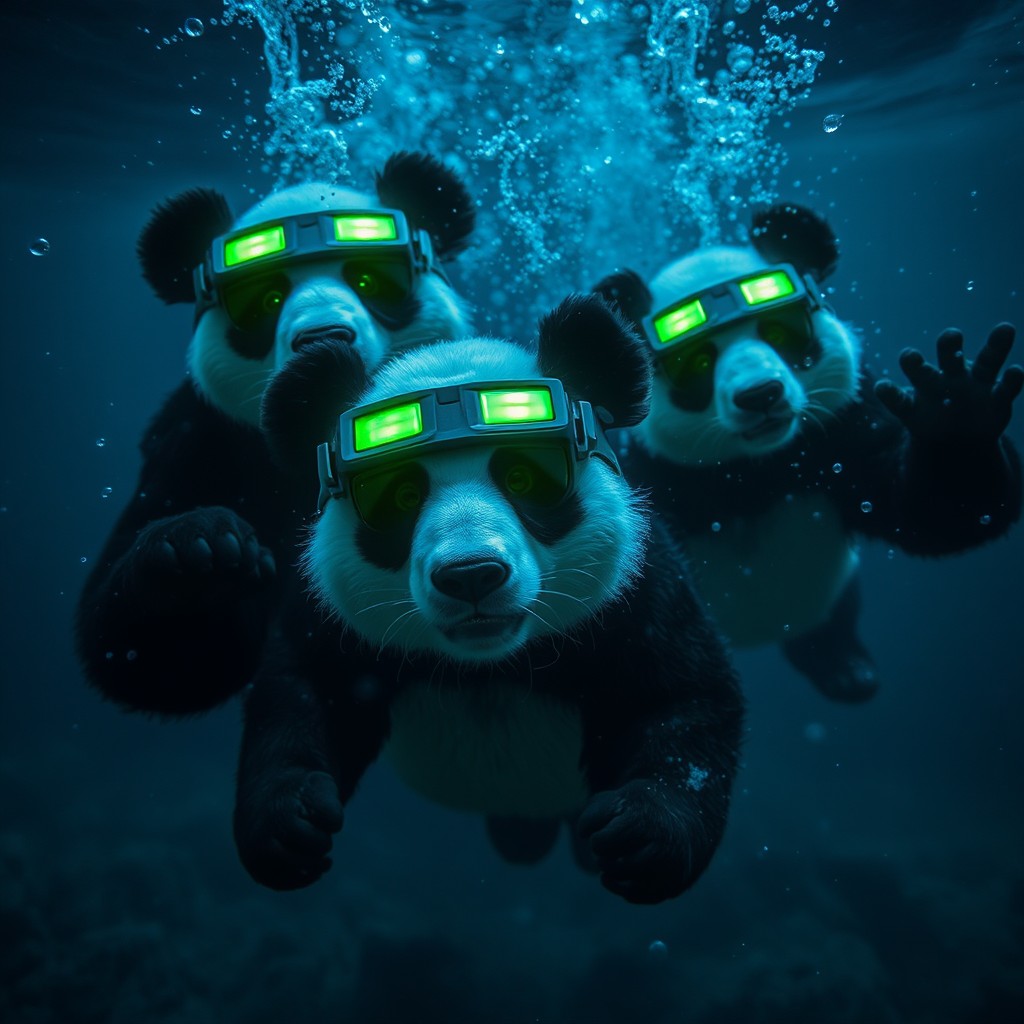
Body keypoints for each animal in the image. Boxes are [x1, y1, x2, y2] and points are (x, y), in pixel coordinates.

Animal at [76, 151, 477, 715]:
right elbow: (140, 654)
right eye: (267, 300)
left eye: (368, 281)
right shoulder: (203, 439)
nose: (324, 338)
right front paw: (202, 555)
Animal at [232, 294, 746, 905]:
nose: (471, 575)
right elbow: (298, 689)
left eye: (523, 477)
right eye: (401, 495)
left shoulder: (636, 590)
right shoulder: (331, 611)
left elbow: (684, 697)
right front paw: (289, 825)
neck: (492, 665)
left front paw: (642, 835)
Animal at [593, 204, 1022, 702]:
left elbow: (935, 512)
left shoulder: (840, 431)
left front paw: (957, 407)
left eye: (780, 332)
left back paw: (847, 671)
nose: (760, 394)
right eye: (698, 361)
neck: (754, 467)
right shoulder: (653, 467)